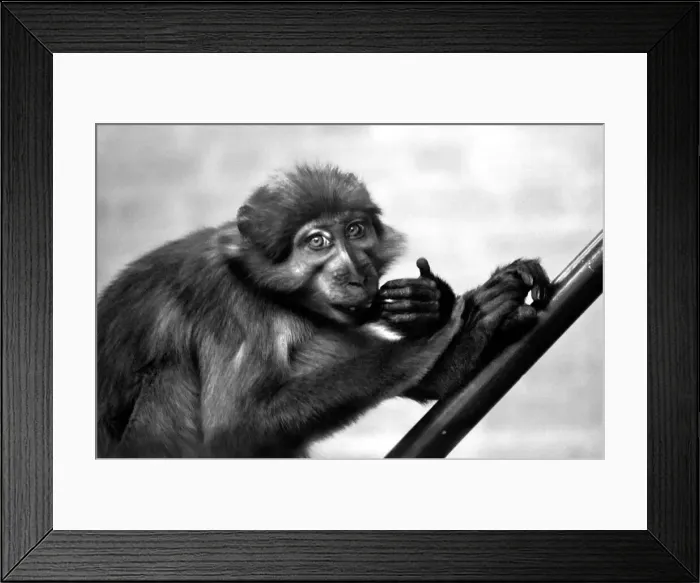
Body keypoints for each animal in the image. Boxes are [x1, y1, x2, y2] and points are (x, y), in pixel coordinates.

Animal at [97, 163, 550, 458]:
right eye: (317, 242)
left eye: (355, 230)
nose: (356, 273)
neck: (257, 284)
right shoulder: (227, 303)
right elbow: (236, 427)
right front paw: (439, 336)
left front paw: (430, 305)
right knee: (168, 372)